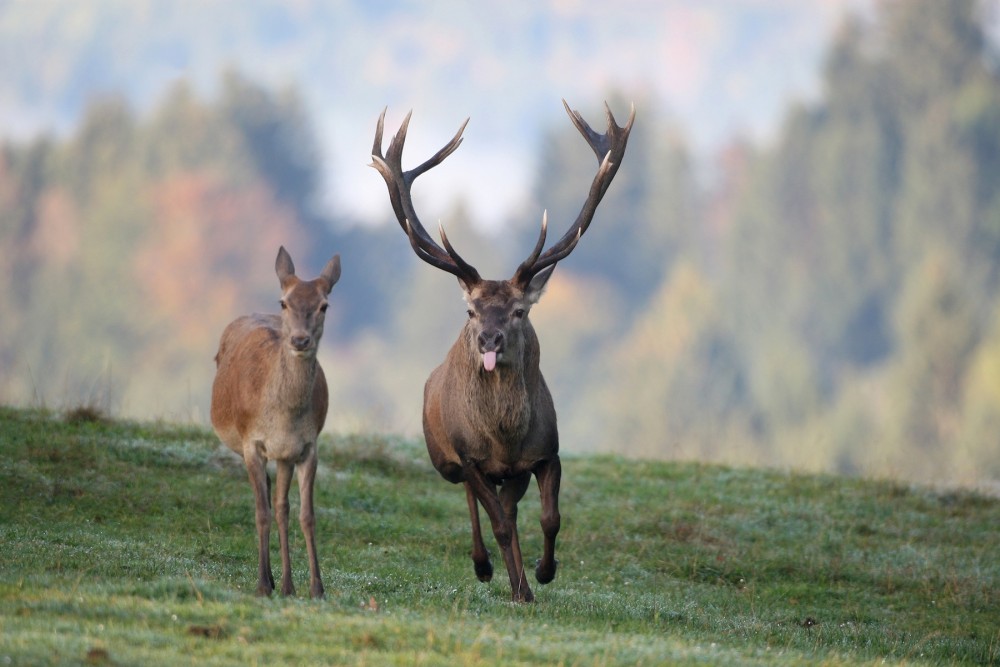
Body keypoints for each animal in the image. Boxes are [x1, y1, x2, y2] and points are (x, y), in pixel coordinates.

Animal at [210, 247, 340, 600]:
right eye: (284, 302)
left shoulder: (307, 447)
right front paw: (260, 584)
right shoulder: (251, 442)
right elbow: (261, 512)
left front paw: (316, 587)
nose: (300, 339)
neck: (284, 417)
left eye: (324, 305)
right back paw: (271, 580)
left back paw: (286, 584)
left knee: (282, 506)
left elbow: (306, 515)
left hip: (283, 457)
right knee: (268, 501)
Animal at [368, 100, 632, 604]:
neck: (506, 439)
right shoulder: (470, 459)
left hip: (509, 474)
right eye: (471, 310)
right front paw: (521, 588)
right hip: (448, 461)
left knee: (506, 507)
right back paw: (484, 566)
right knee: (480, 505)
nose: (488, 340)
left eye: (518, 311)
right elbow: (501, 525)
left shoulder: (546, 453)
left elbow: (550, 518)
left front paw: (544, 573)